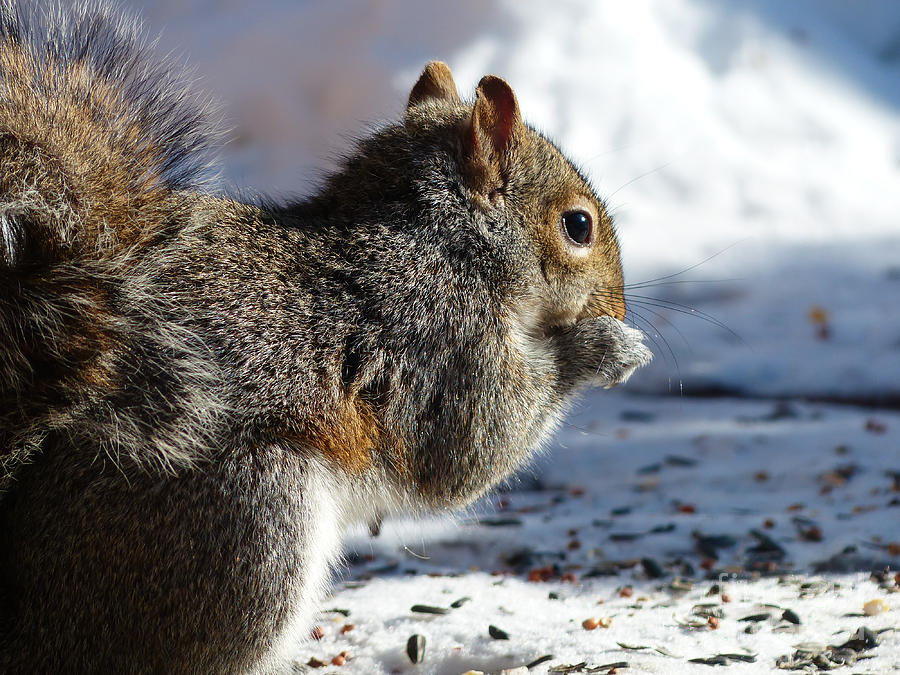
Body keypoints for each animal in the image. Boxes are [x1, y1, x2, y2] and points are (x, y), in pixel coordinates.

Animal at [0, 2, 648, 672]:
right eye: (577, 225)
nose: (619, 306)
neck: (447, 247)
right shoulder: (442, 345)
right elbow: (472, 449)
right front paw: (602, 349)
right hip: (251, 518)